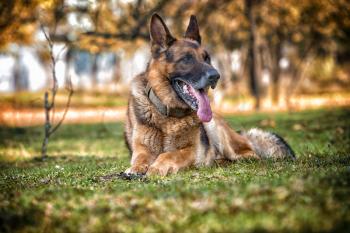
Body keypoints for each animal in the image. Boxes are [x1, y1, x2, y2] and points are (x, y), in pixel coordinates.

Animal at [124, 13, 294, 176]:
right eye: (186, 59)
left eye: (207, 58)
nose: (216, 76)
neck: (169, 115)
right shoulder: (142, 148)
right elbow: (140, 158)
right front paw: (136, 168)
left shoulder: (192, 150)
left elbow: (169, 154)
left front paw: (157, 167)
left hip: (217, 131)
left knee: (249, 154)